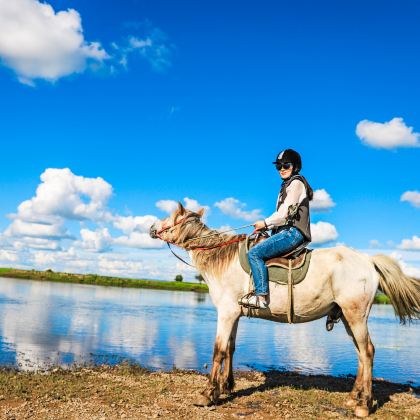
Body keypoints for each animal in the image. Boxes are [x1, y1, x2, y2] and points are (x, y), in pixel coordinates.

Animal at [150, 203, 420, 416]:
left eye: (171, 217)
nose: (151, 227)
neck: (222, 259)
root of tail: (369, 261)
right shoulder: (234, 314)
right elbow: (231, 349)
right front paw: (226, 386)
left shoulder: (225, 313)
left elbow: (219, 351)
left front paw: (207, 394)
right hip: (347, 317)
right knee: (361, 354)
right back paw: (354, 398)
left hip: (356, 315)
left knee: (368, 352)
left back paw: (363, 405)